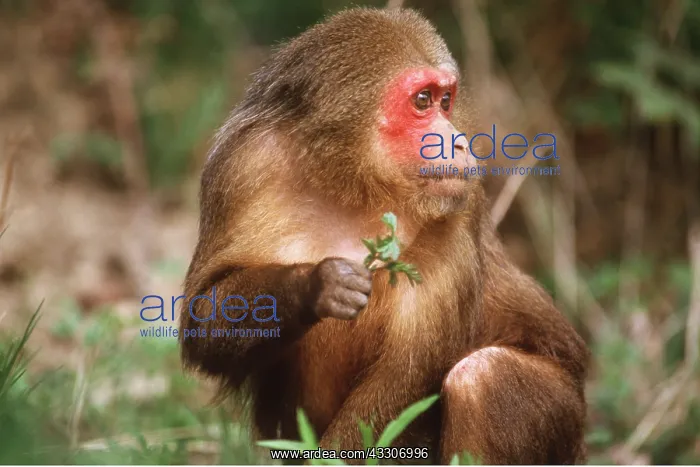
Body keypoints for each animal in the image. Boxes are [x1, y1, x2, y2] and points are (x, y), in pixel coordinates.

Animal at [179, 7, 589, 465]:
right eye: (423, 101)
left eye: (446, 100)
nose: (458, 143)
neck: (352, 179)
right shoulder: (243, 165)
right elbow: (204, 319)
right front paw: (318, 283)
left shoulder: (457, 210)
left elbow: (404, 384)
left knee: (483, 377)